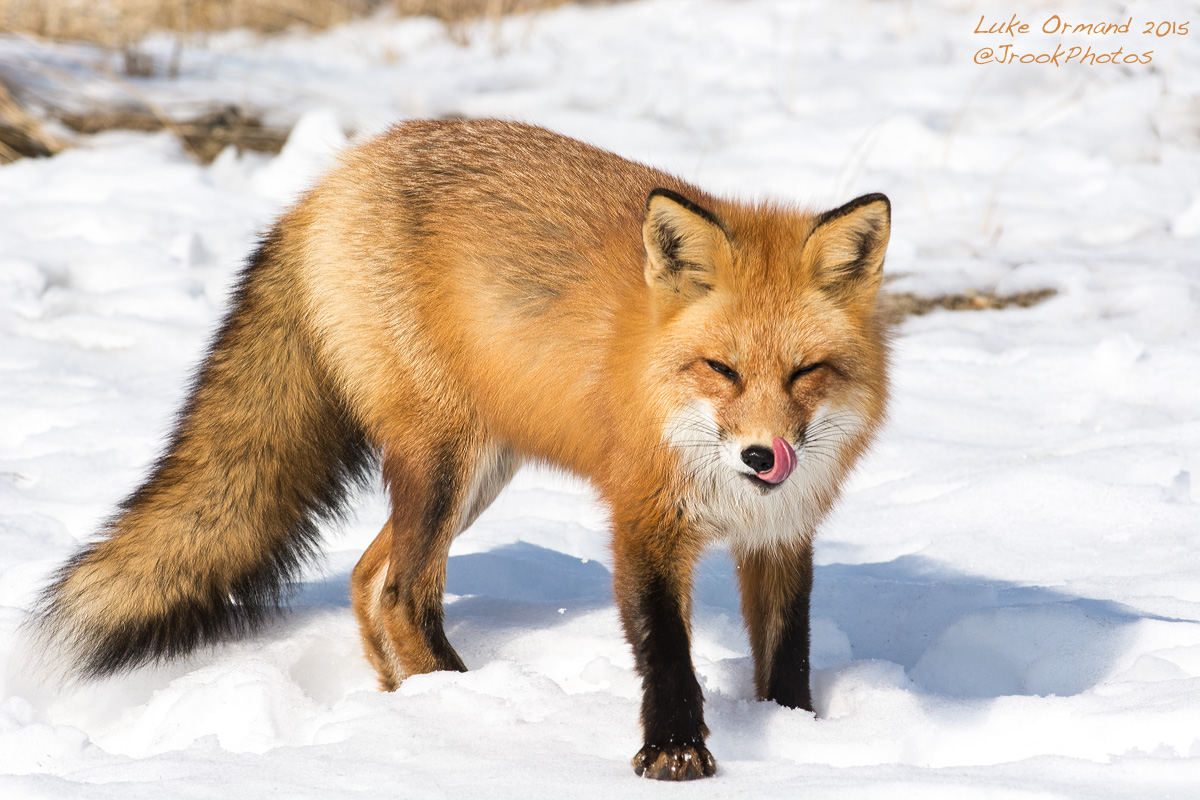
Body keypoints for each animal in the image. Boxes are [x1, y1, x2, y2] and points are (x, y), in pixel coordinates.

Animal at [35, 119, 890, 780]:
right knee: (401, 593)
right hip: (448, 461)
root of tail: (329, 183)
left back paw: (410, 711)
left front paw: (796, 734)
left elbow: (788, 654)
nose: (763, 458)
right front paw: (675, 752)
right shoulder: (644, 519)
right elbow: (665, 650)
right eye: (722, 369)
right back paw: (465, 714)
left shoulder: (781, 535)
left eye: (806, 372)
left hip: (477, 474)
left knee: (366, 579)